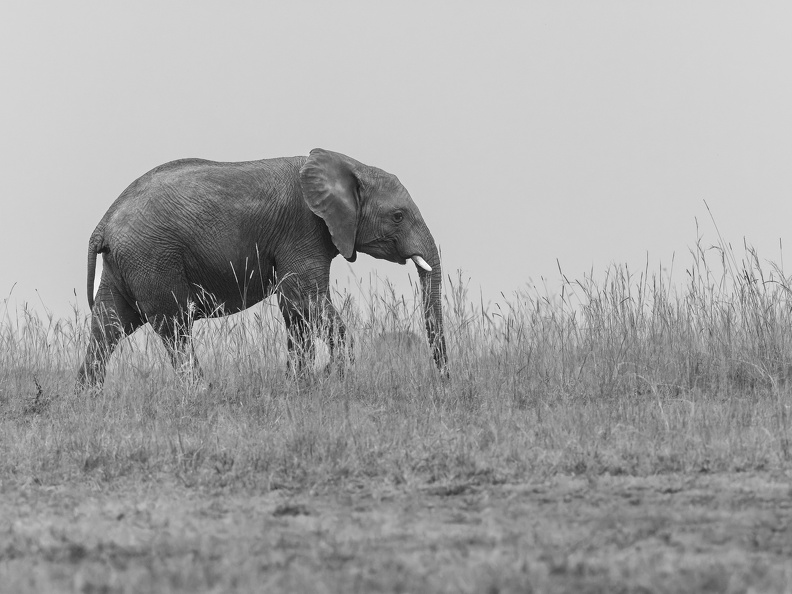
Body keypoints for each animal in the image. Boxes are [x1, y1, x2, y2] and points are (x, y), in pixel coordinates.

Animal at [76, 148, 448, 386]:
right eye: (398, 216)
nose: (443, 379)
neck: (348, 165)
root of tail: (104, 222)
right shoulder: (304, 229)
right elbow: (305, 299)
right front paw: (332, 379)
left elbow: (295, 308)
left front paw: (301, 385)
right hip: (152, 256)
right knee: (175, 325)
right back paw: (199, 393)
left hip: (127, 263)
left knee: (109, 325)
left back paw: (88, 399)